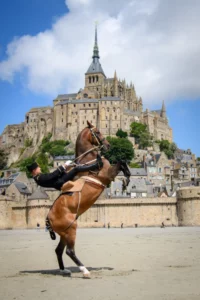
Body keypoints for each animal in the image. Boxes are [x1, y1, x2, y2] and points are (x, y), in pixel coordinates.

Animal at [47, 120, 131, 278]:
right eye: (97, 132)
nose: (108, 145)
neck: (90, 158)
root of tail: (48, 219)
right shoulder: (107, 175)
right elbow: (121, 162)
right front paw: (126, 179)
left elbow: (121, 161)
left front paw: (126, 179)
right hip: (72, 230)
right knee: (70, 251)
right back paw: (84, 270)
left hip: (64, 233)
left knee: (58, 250)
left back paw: (64, 270)